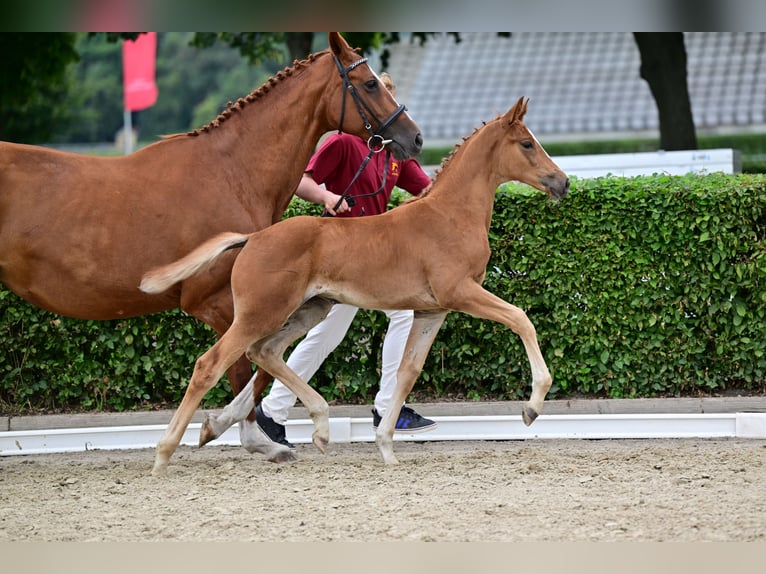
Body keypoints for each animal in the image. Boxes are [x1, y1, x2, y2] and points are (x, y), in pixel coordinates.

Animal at [0, 32, 422, 459]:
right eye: (370, 84)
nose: (415, 138)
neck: (232, 172)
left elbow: (259, 362)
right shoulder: (224, 304)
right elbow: (247, 364)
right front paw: (246, 435)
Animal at [140, 96, 569, 475]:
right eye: (527, 143)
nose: (562, 182)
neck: (450, 214)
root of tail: (253, 238)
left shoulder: (431, 310)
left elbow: (408, 371)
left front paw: (386, 448)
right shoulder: (460, 292)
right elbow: (521, 318)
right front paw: (532, 407)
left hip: (309, 309)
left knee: (266, 352)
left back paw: (315, 427)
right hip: (261, 312)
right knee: (211, 364)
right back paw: (164, 454)